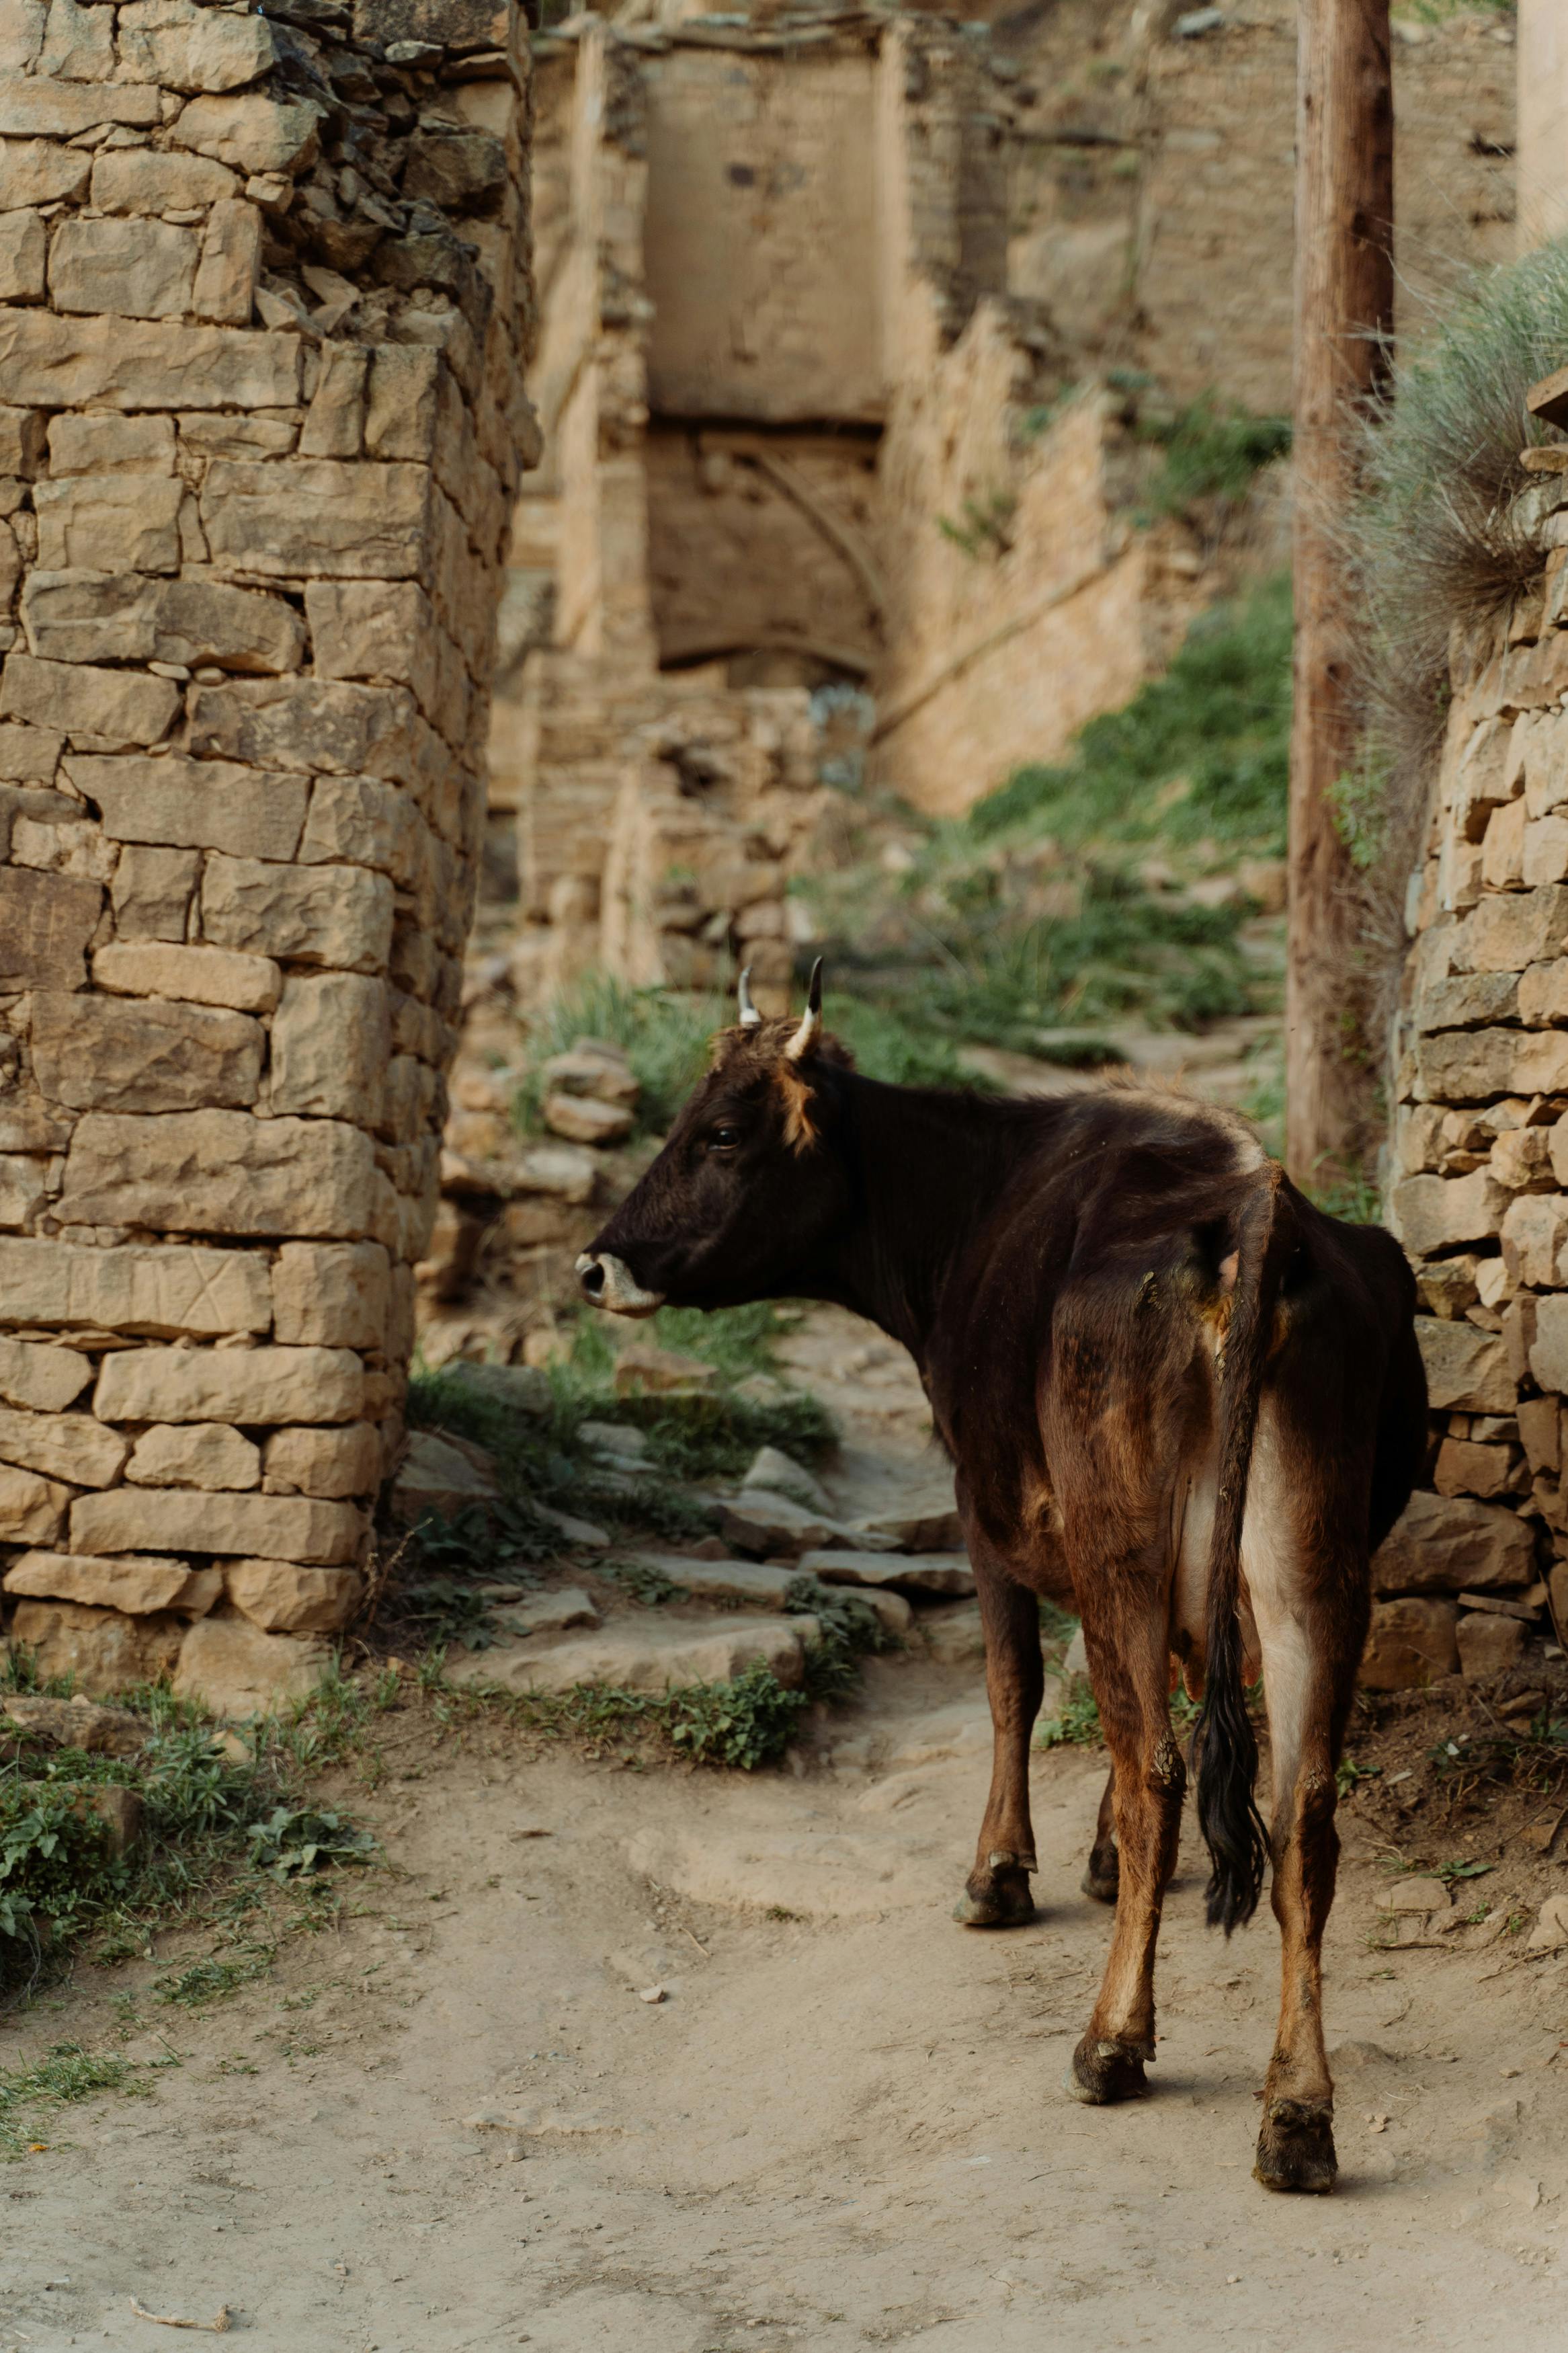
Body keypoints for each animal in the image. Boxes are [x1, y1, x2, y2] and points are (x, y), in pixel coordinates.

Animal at [576, 965, 1427, 2193]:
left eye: (722, 1132)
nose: (595, 1263)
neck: (971, 1204)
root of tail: (1253, 1210)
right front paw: (1101, 1866)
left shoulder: (986, 1509)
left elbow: (1013, 1684)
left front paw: (1001, 1875)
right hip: (1308, 1573)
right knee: (1301, 1817)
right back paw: (1296, 2119)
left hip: (1131, 1549)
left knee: (1159, 1770)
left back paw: (1111, 2041)